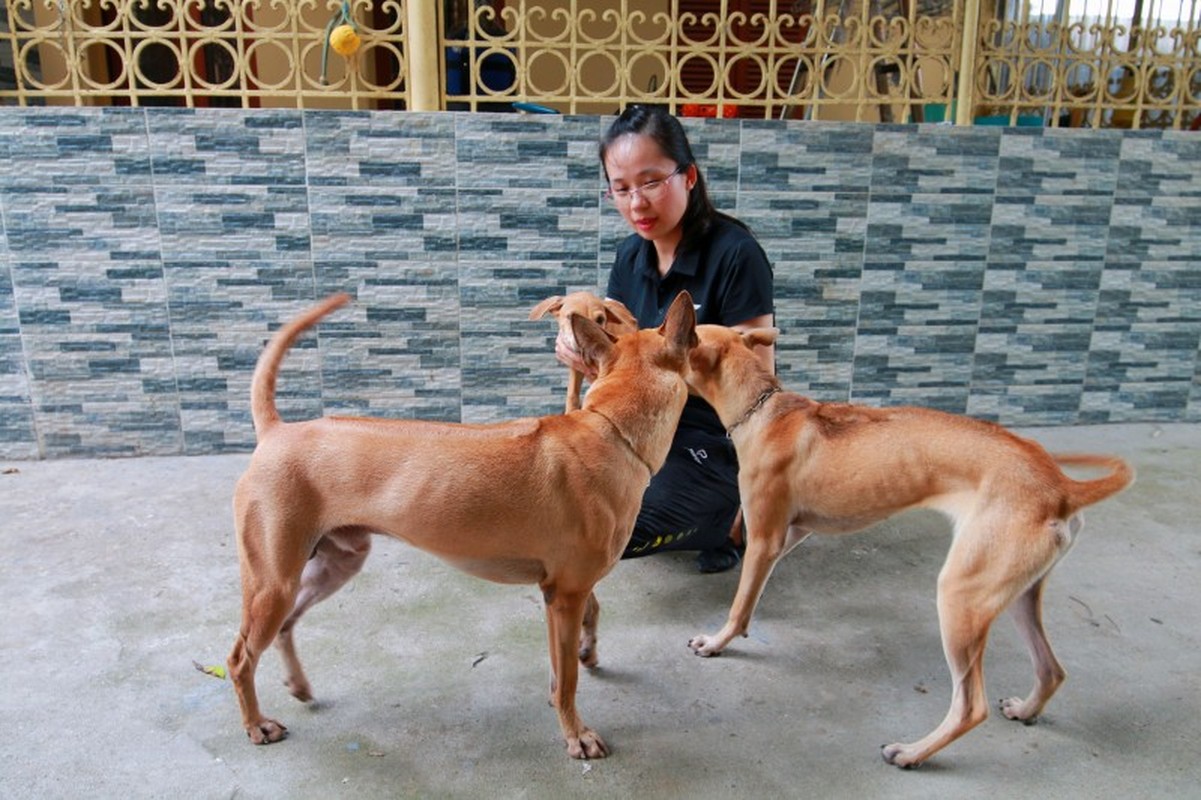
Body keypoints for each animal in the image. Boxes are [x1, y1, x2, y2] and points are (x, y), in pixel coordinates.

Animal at [225, 289, 701, 759]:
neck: (612, 430)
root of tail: (277, 431)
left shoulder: (557, 593)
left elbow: (567, 655)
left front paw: (571, 682)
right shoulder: (567, 594)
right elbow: (567, 680)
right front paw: (575, 734)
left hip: (334, 565)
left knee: (286, 626)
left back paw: (298, 686)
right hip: (273, 583)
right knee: (240, 658)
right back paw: (254, 724)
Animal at [686, 324, 1133, 768]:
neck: (765, 411)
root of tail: (1061, 487)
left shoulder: (765, 539)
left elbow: (739, 606)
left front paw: (717, 642)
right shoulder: (792, 533)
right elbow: (753, 594)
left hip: (961, 595)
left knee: (971, 706)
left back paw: (913, 752)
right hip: (1016, 592)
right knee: (1051, 670)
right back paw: (1025, 709)